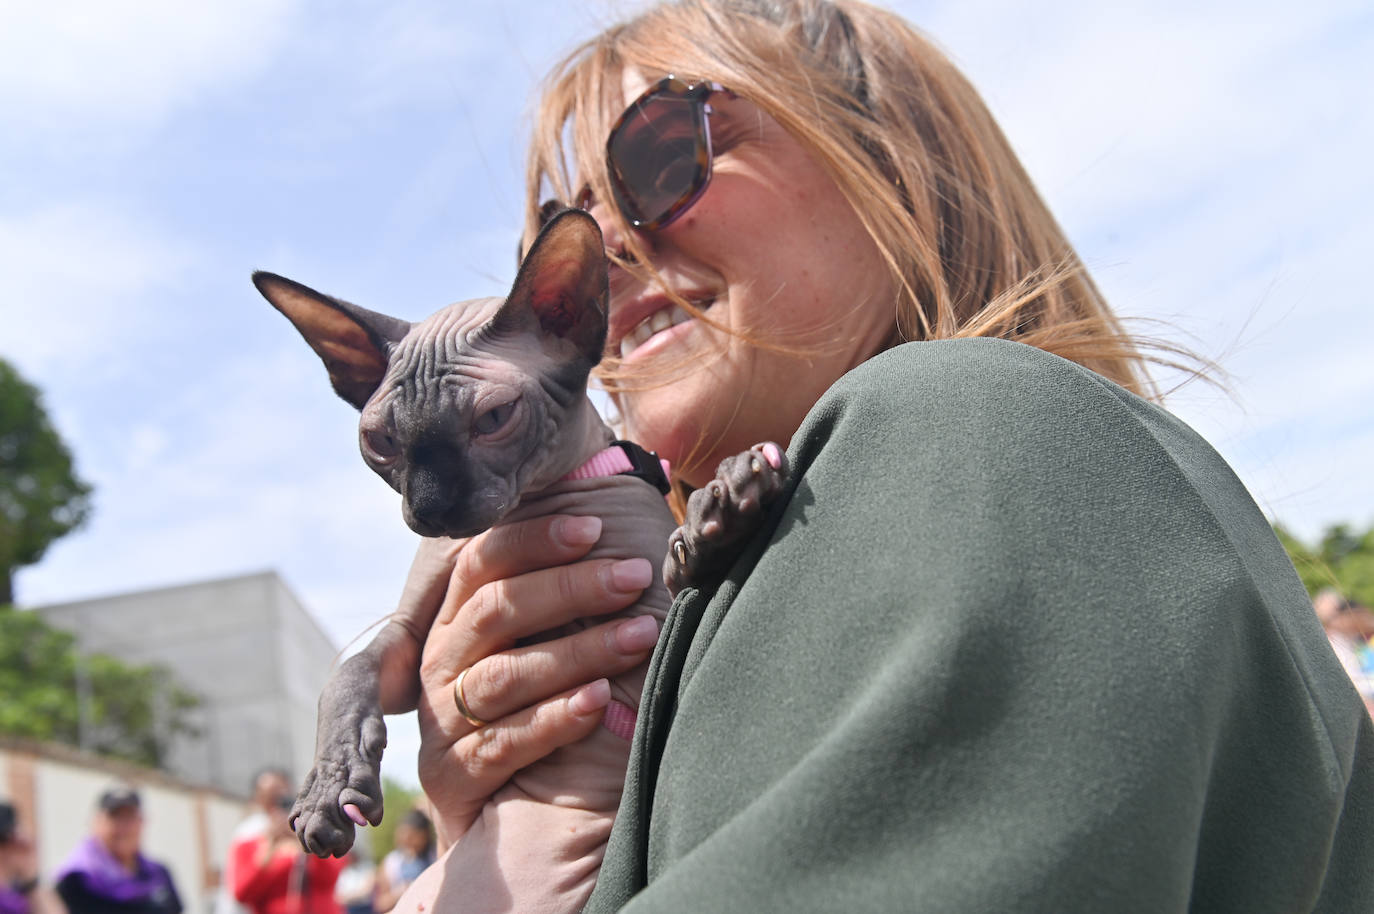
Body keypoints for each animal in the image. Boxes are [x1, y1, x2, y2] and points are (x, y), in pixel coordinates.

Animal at [248, 210, 785, 907]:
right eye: (379, 441)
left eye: (495, 417)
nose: (431, 510)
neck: (526, 509)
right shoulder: (410, 641)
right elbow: (348, 673)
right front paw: (329, 785)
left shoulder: (649, 625)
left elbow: (676, 596)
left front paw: (714, 520)